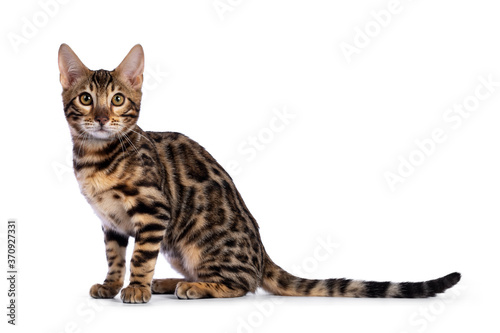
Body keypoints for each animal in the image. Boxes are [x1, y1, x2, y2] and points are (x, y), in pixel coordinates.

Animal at [57, 42, 460, 302]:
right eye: (86, 99)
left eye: (118, 100)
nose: (102, 118)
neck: (96, 156)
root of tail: (262, 253)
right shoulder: (110, 222)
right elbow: (114, 257)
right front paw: (111, 286)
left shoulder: (153, 210)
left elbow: (140, 257)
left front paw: (137, 287)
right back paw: (170, 283)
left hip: (197, 242)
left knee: (243, 283)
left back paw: (193, 287)